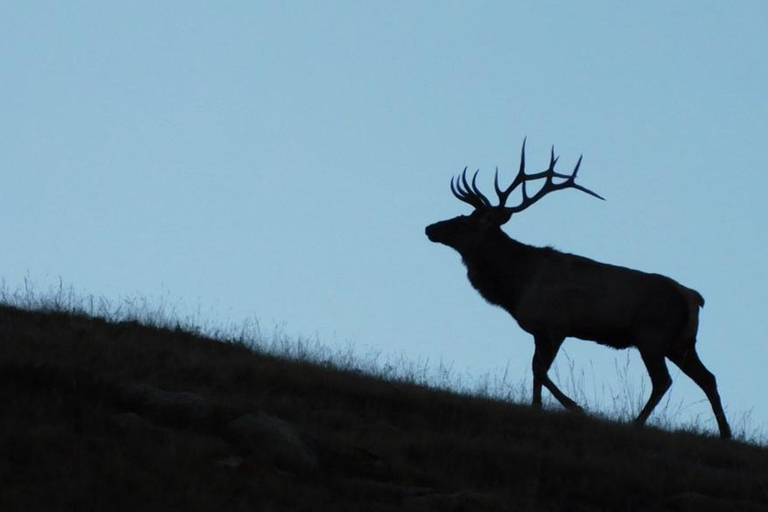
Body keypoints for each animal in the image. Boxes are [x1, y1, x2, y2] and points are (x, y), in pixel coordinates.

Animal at [426, 141, 732, 440]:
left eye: (464, 222)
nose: (430, 228)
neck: (516, 286)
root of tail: (693, 298)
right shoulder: (541, 330)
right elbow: (537, 370)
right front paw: (537, 407)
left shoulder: (555, 325)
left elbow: (539, 369)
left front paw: (575, 407)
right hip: (682, 342)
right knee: (708, 377)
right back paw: (725, 433)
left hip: (652, 335)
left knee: (663, 380)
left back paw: (637, 423)